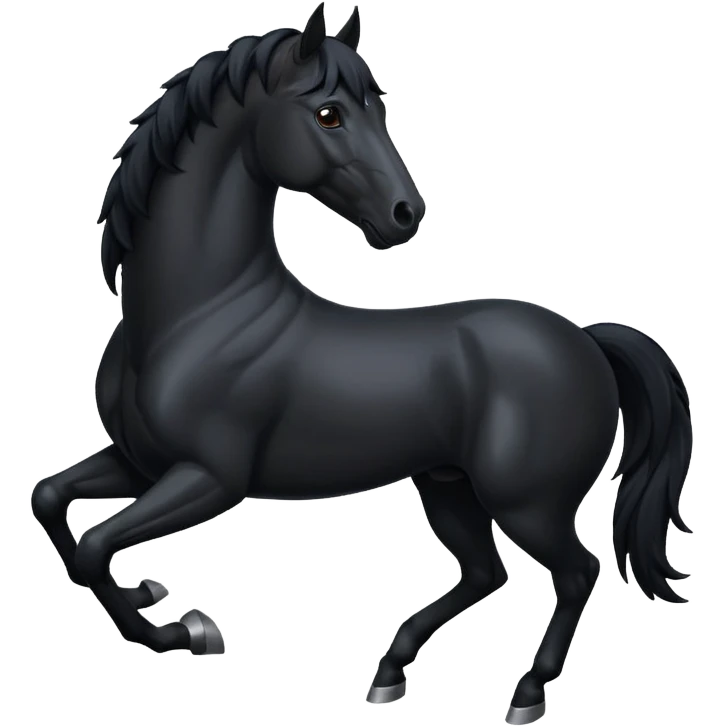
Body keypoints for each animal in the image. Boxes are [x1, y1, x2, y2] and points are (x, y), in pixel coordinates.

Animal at [31, 4, 694, 724]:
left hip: (527, 503)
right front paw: (153, 596)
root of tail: (586, 340)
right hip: (448, 486)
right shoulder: (144, 463)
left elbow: (95, 547)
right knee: (486, 573)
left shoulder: (209, 477)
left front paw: (188, 630)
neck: (195, 317)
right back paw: (389, 673)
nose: (407, 215)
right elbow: (54, 504)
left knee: (575, 573)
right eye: (329, 114)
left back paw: (525, 693)